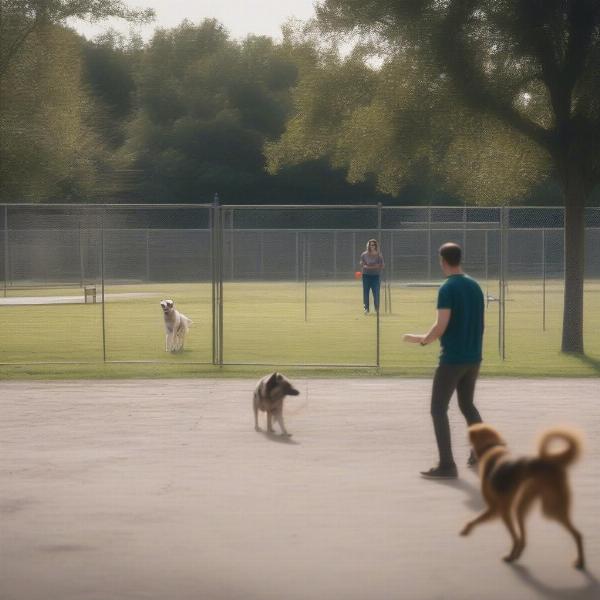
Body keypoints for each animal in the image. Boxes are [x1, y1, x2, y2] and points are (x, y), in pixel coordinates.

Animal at [462, 424, 584, 568]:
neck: (491, 447)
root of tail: (553, 463)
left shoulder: (497, 509)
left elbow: (476, 521)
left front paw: (466, 530)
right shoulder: (502, 509)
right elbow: (516, 537)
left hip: (547, 509)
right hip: (533, 506)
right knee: (575, 534)